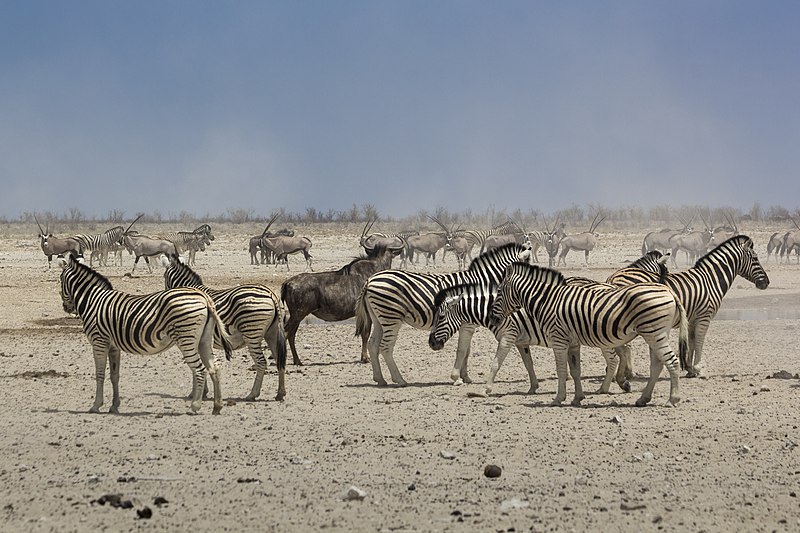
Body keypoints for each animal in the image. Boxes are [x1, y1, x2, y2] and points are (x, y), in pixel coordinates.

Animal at [58, 251, 234, 414]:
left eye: (60, 281)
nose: (66, 308)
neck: (93, 300)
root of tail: (204, 297)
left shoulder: (98, 342)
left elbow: (99, 374)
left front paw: (96, 405)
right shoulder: (113, 346)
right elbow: (114, 375)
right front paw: (114, 406)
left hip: (186, 339)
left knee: (199, 370)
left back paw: (195, 406)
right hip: (204, 340)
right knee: (214, 367)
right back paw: (217, 406)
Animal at [163, 256, 288, 402]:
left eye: (164, 277)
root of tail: (270, 293)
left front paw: (196, 393)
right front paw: (203, 392)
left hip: (252, 333)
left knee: (261, 362)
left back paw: (252, 394)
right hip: (272, 333)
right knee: (279, 359)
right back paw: (280, 393)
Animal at [354, 242, 532, 386]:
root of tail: (370, 279)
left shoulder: (468, 323)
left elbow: (467, 351)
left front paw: (466, 377)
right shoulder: (468, 323)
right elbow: (462, 350)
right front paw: (457, 378)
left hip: (379, 318)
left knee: (373, 344)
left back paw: (380, 379)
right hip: (391, 317)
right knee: (385, 347)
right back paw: (400, 380)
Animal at [490, 262, 692, 408]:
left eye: (498, 291)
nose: (493, 318)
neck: (547, 300)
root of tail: (670, 292)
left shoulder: (559, 339)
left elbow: (561, 370)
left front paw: (558, 399)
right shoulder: (572, 342)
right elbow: (575, 370)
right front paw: (577, 398)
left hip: (654, 333)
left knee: (672, 361)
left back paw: (672, 400)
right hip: (656, 333)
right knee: (657, 365)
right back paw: (643, 399)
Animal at [604, 234, 764, 378]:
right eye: (756, 259)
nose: (766, 283)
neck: (710, 280)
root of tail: (613, 277)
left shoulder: (692, 319)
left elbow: (692, 342)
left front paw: (690, 369)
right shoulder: (704, 317)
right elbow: (699, 341)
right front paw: (698, 369)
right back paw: (627, 373)